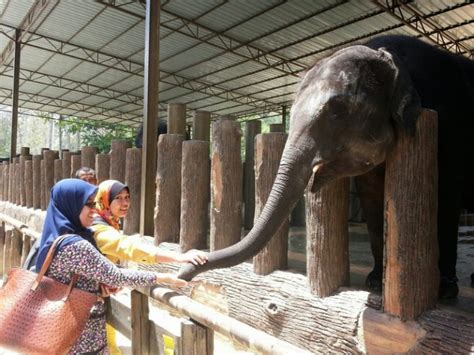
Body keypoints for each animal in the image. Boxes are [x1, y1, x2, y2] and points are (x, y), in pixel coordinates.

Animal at [178, 34, 474, 298]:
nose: (186, 271)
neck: (388, 54)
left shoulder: (450, 125)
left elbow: (446, 196)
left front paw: (444, 291)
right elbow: (371, 197)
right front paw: (375, 283)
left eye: (338, 110)